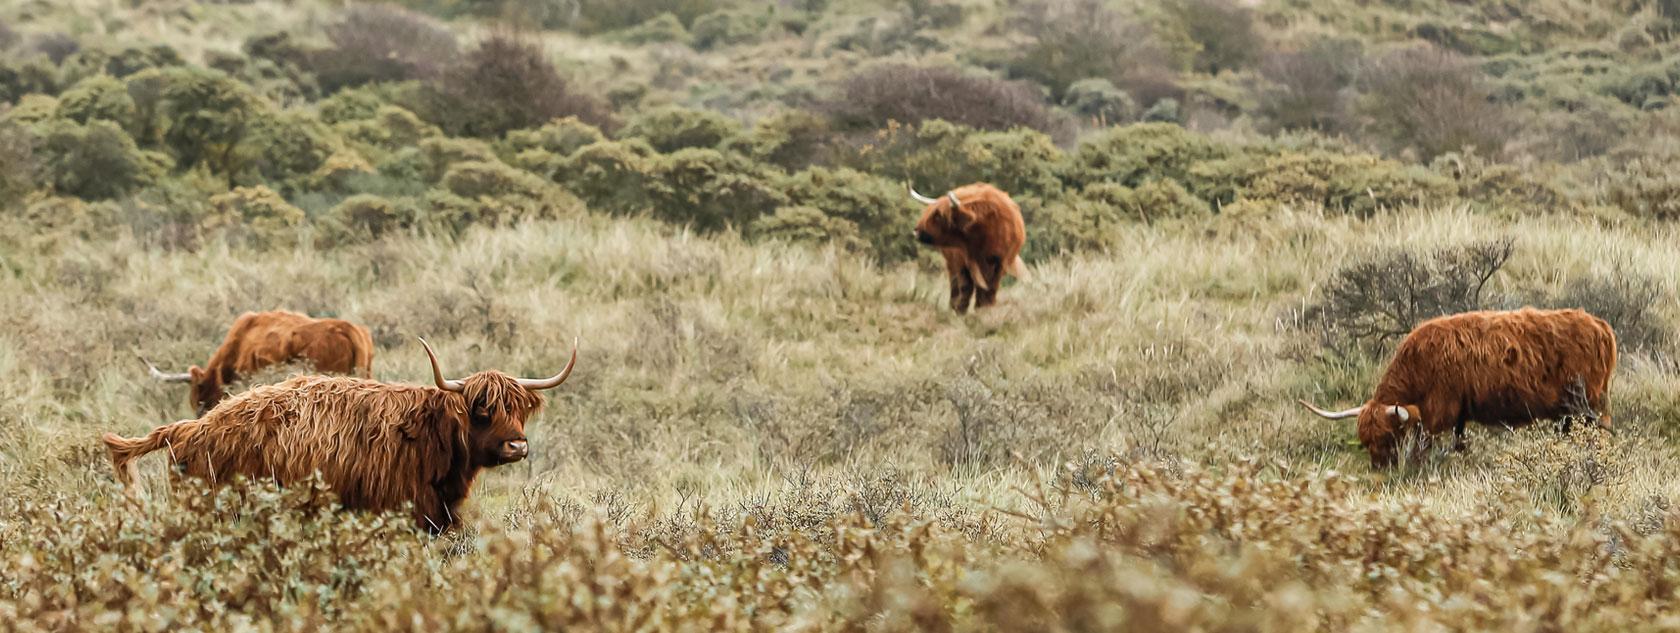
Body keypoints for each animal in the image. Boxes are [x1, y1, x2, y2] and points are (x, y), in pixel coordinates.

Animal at [913, 181, 1028, 312]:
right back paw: (953, 305)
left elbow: (990, 289)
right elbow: (967, 287)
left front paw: (985, 309)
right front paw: (960, 310)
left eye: (938, 215)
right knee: (955, 283)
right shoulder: (964, 261)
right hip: (951, 262)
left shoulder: (1000, 263)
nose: (916, 231)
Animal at [1296, 308, 1612, 466]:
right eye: (1365, 442)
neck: (1421, 361)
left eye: (1388, 438)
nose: (1379, 468)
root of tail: (1599, 324)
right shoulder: (1458, 412)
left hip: (1587, 404)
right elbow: (1459, 442)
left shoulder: (1439, 410)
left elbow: (1424, 445)